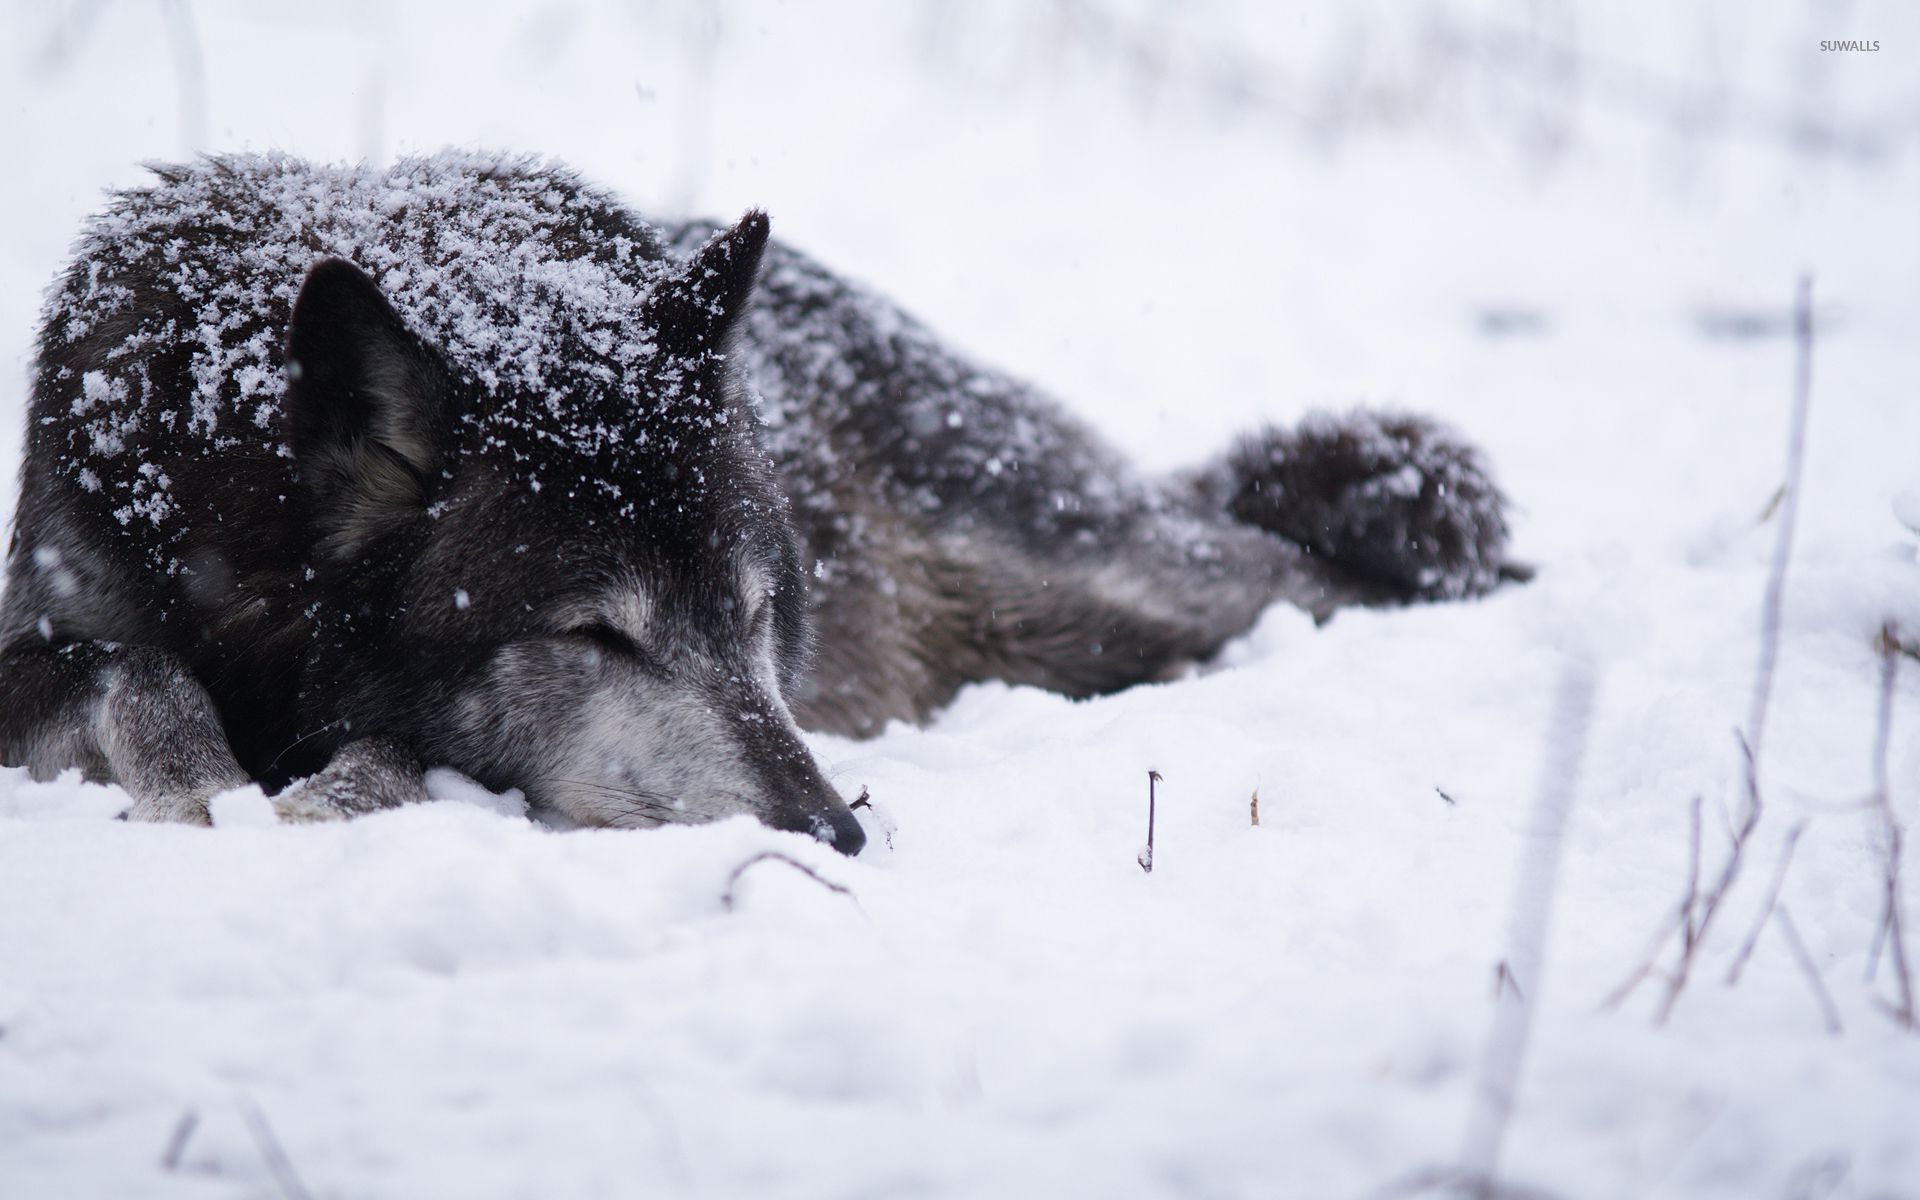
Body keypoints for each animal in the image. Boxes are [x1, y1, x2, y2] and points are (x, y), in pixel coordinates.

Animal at [0, 154, 1514, 854]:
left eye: (753, 614)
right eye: (596, 636)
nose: (837, 833)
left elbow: (379, 748)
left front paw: (315, 795)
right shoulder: (58, 614)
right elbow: (127, 663)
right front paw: (206, 782)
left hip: (1100, 584)